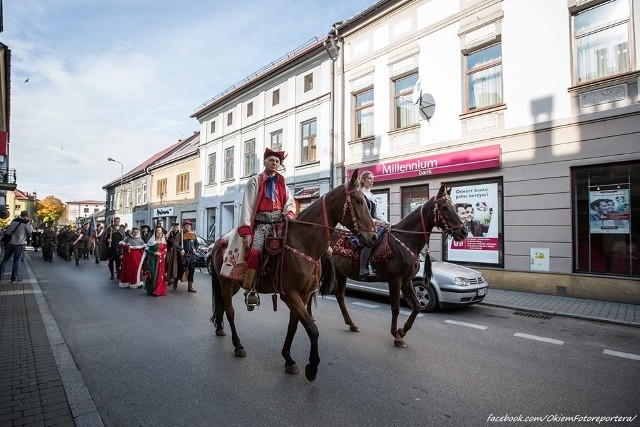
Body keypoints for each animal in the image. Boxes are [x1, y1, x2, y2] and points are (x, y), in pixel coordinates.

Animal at [210, 170, 380, 382]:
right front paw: (312, 367)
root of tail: (218, 241)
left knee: (222, 306)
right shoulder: (290, 294)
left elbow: (295, 325)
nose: (373, 237)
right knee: (231, 311)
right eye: (358, 201)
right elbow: (312, 329)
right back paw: (238, 345)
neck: (303, 242)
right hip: (225, 282)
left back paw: (219, 328)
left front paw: (288, 359)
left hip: (232, 284)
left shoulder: (303, 294)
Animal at [328, 186, 468, 350]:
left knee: (340, 296)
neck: (406, 239)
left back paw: (352, 324)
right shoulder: (395, 280)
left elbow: (416, 306)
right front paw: (397, 336)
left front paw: (402, 330)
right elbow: (395, 308)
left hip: (340, 273)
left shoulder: (406, 281)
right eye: (445, 207)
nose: (464, 232)